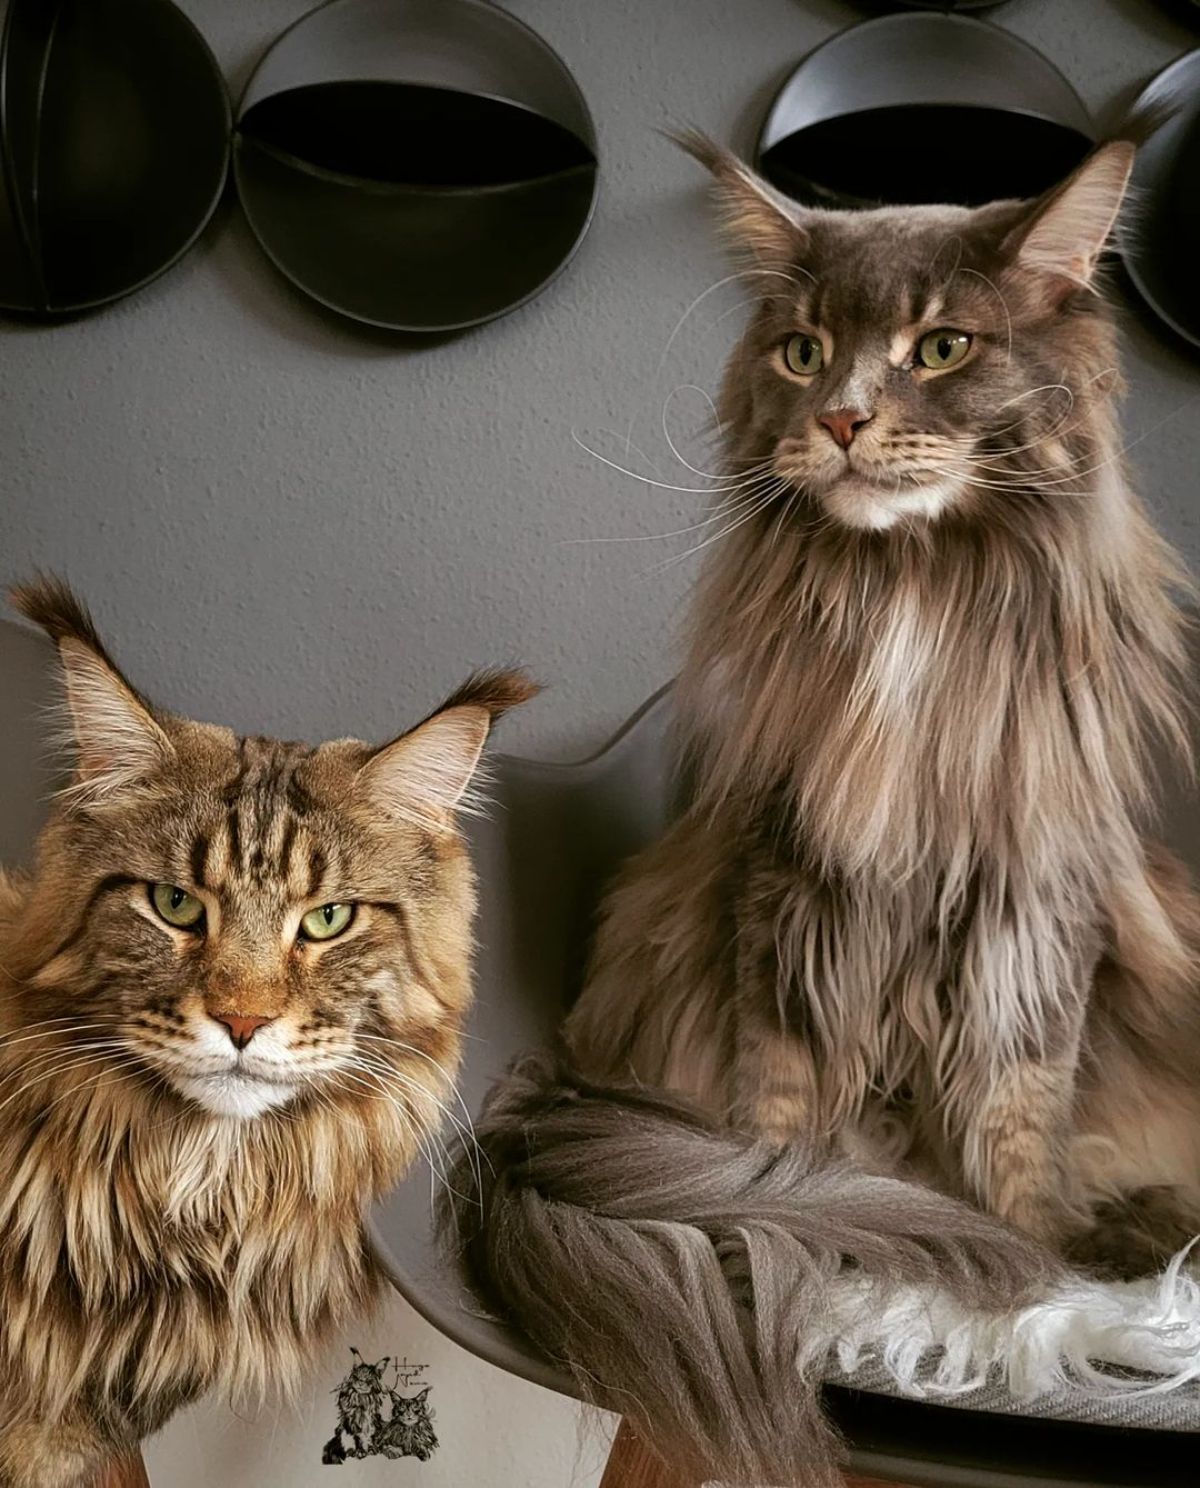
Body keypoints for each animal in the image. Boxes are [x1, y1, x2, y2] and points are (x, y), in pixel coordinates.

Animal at [458, 133, 1200, 1482]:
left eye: (942, 347)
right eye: (804, 352)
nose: (845, 417)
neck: (911, 599)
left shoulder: (1034, 903)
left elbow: (1020, 1113)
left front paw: (1035, 1260)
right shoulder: (787, 884)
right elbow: (783, 1102)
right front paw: (793, 1220)